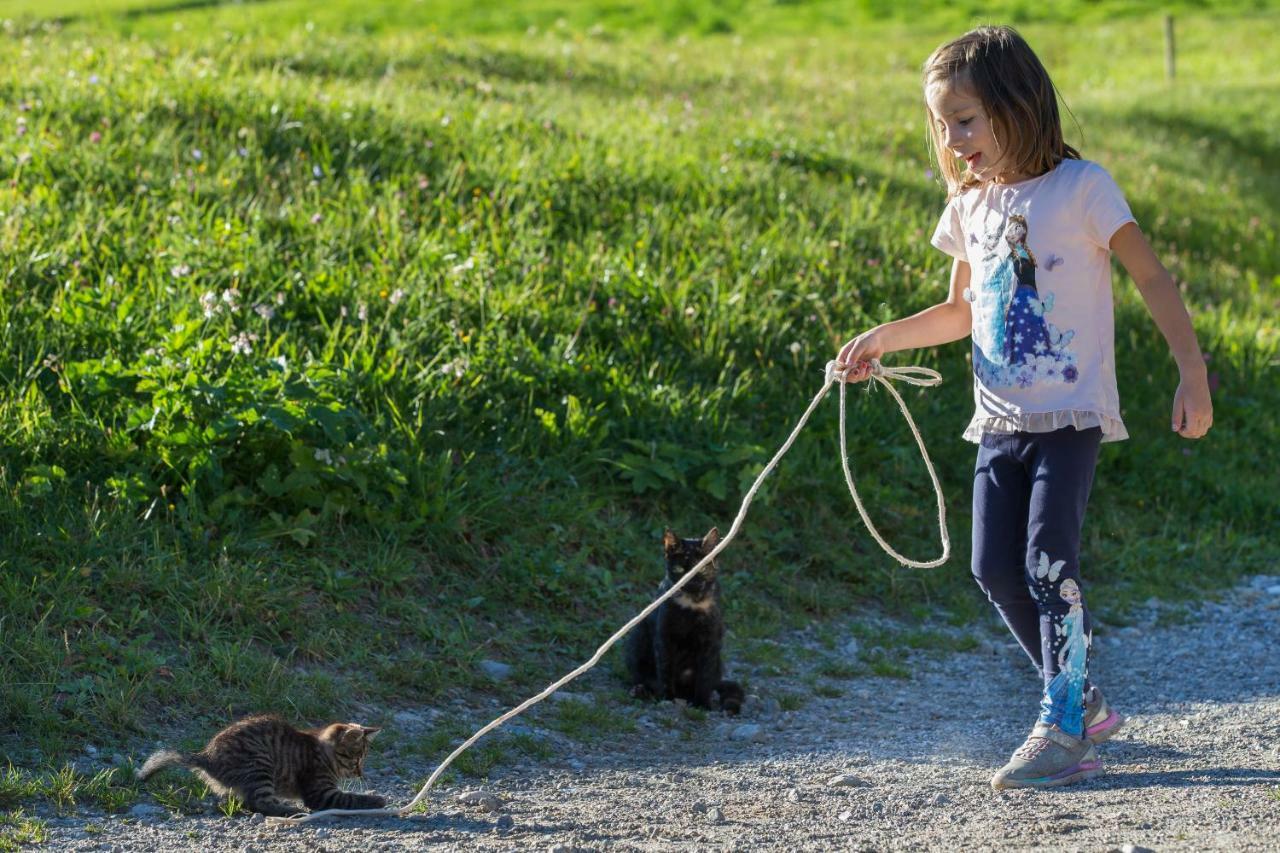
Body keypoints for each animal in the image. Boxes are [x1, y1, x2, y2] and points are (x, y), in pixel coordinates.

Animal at [137, 706, 384, 814]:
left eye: (362, 760)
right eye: (356, 760)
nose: (360, 774)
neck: (323, 751)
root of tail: (207, 756)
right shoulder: (321, 793)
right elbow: (350, 798)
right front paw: (377, 799)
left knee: (245, 800)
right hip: (260, 762)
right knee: (259, 803)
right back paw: (289, 810)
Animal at [624, 525, 747, 712]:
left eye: (702, 569)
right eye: (681, 569)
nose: (692, 582)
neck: (692, 604)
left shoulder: (711, 641)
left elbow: (704, 676)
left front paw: (702, 704)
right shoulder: (665, 638)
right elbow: (666, 669)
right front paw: (667, 698)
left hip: (718, 662)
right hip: (637, 638)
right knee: (644, 677)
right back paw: (641, 691)